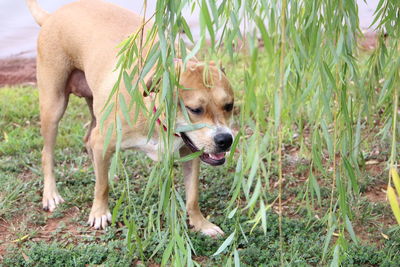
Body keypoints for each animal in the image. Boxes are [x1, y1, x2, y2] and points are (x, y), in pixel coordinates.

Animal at [27, 0, 234, 238]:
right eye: (195, 109)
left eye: (229, 105)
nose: (225, 140)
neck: (155, 112)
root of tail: (51, 16)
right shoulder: (103, 138)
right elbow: (102, 188)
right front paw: (99, 212)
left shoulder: (189, 153)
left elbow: (192, 196)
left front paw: (201, 223)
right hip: (54, 106)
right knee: (48, 153)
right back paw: (51, 194)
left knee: (88, 140)